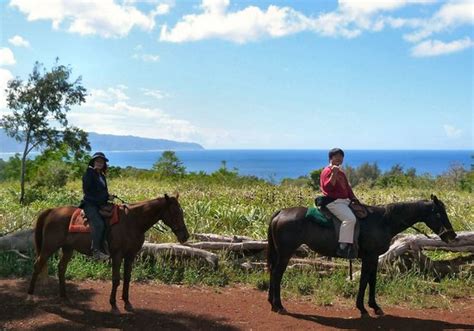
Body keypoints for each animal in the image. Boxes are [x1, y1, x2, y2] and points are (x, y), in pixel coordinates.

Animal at [27, 193, 189, 312]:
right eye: (174, 212)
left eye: (181, 211)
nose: (185, 236)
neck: (132, 222)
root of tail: (52, 210)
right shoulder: (117, 255)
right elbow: (116, 279)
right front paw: (113, 304)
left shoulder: (130, 256)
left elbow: (127, 278)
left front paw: (127, 302)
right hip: (49, 247)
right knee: (37, 265)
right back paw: (30, 297)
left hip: (67, 248)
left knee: (61, 268)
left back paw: (64, 297)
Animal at [266, 195, 456, 316]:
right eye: (438, 213)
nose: (452, 235)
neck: (383, 221)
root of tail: (280, 212)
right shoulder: (369, 256)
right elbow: (365, 280)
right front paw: (363, 308)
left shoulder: (374, 257)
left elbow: (372, 280)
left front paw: (375, 307)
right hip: (285, 253)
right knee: (277, 274)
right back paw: (279, 305)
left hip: (279, 253)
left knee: (272, 273)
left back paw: (272, 303)